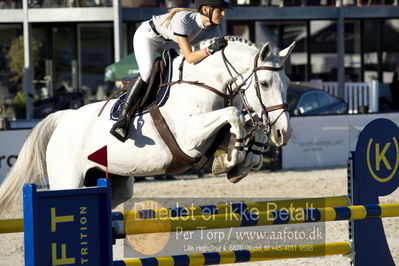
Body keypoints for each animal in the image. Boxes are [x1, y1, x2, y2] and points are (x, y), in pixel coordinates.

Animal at [0, 36, 294, 213]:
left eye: (288, 83)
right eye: (264, 83)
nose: (284, 133)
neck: (203, 82)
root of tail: (64, 119)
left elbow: (244, 124)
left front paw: (242, 160)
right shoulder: (190, 138)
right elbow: (235, 114)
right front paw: (232, 160)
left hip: (114, 183)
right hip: (68, 180)